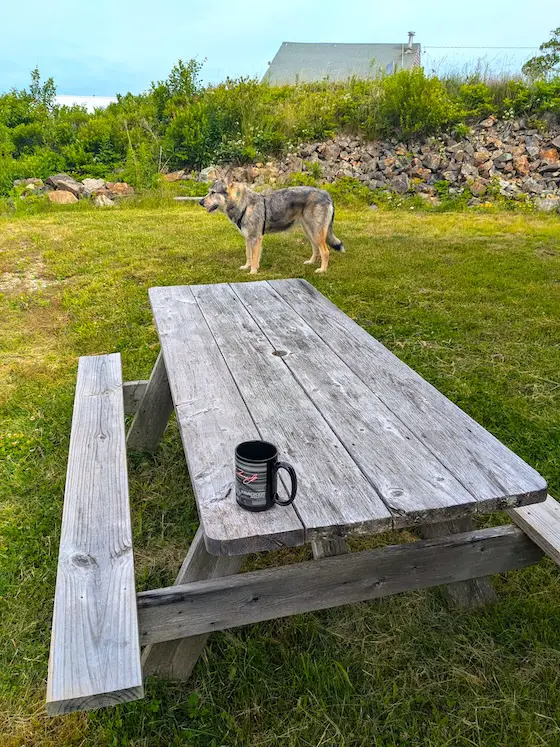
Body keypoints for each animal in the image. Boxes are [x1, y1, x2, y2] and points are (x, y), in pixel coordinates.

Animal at [199, 181, 344, 274]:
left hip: (316, 233)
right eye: (208, 192)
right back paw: (311, 262)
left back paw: (322, 270)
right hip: (310, 233)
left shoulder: (256, 238)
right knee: (316, 250)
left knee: (325, 251)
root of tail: (326, 193)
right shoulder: (248, 238)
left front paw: (252, 272)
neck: (244, 205)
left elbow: (255, 258)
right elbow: (248, 255)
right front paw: (246, 267)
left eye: (213, 192)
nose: (200, 202)